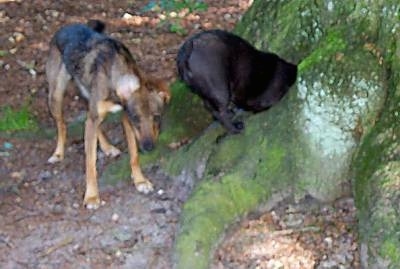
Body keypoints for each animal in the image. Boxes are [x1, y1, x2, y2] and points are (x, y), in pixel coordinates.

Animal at [46, 21, 170, 208]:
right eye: (136, 118)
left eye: (156, 117)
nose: (149, 147)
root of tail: (67, 26)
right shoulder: (108, 117)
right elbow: (90, 164)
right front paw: (91, 196)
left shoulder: (124, 119)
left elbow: (134, 155)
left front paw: (140, 181)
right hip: (56, 97)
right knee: (62, 125)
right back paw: (58, 153)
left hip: (88, 102)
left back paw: (107, 147)